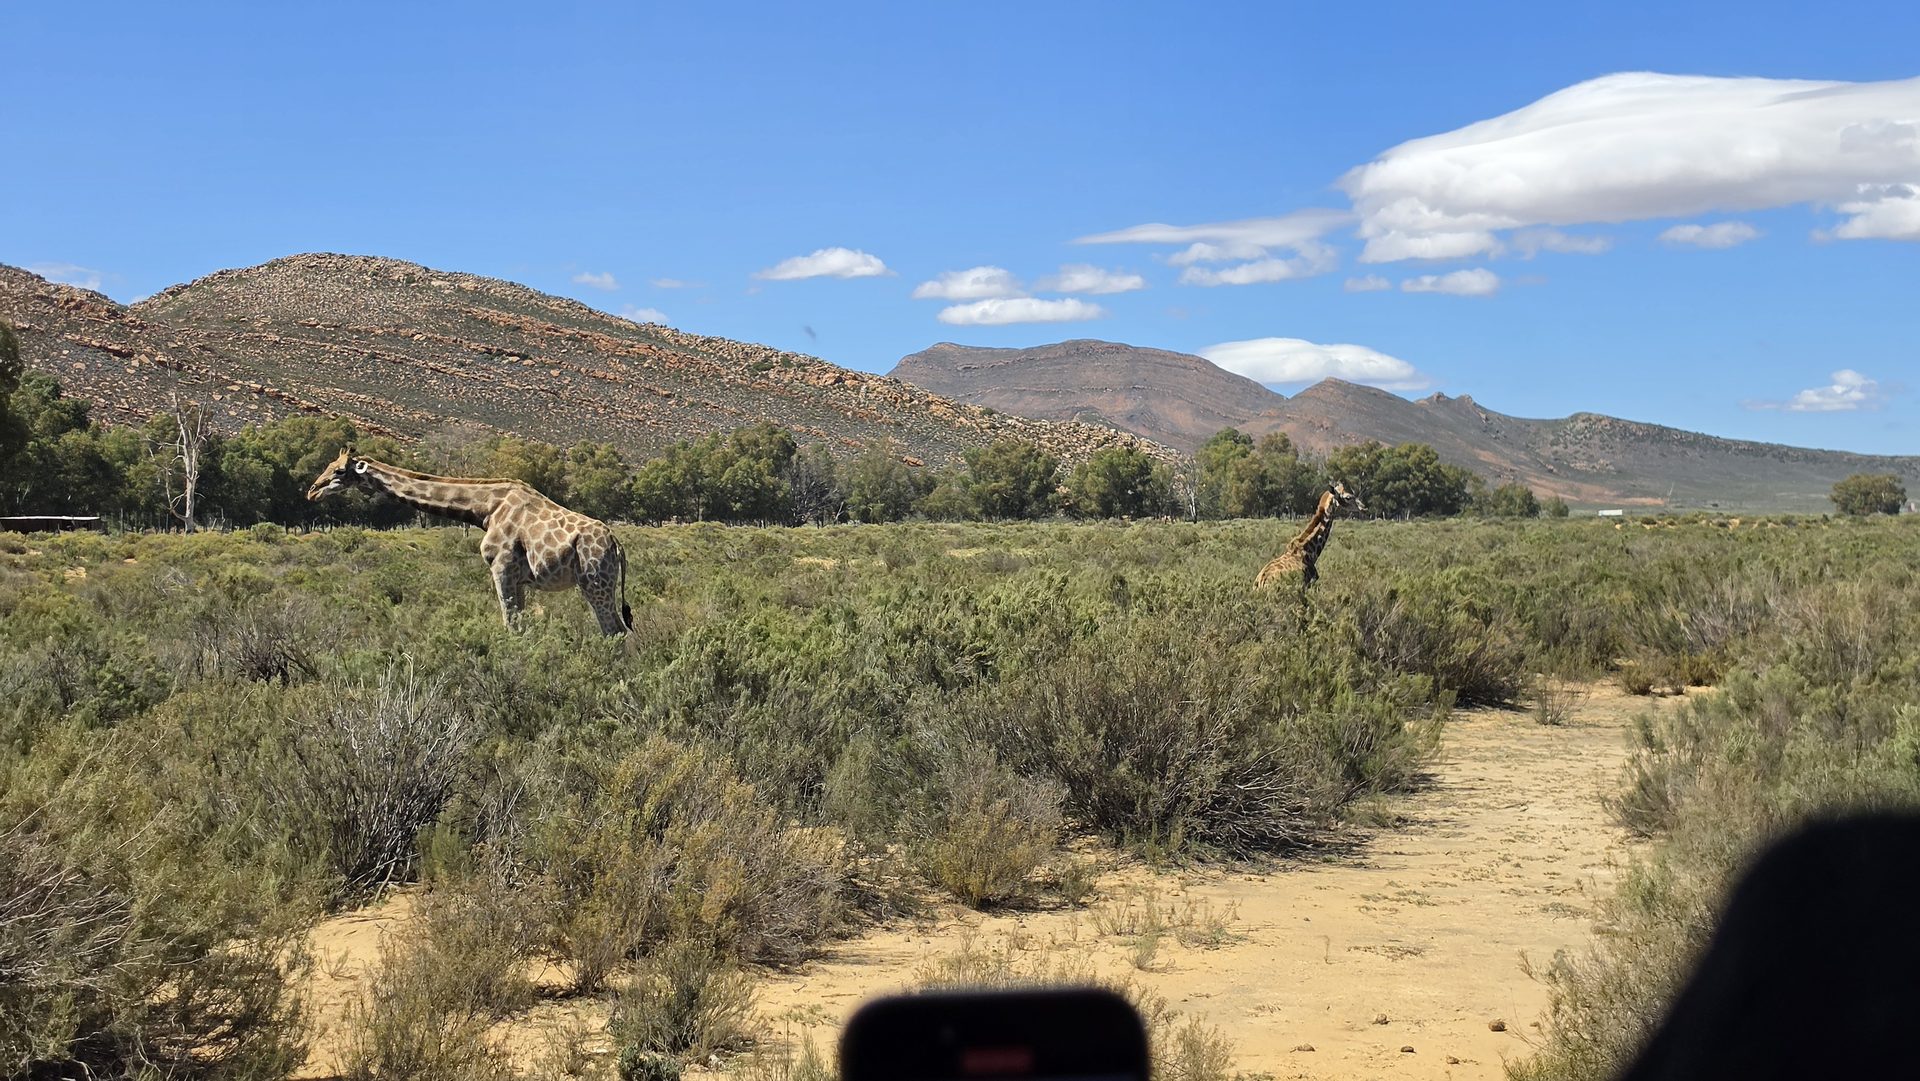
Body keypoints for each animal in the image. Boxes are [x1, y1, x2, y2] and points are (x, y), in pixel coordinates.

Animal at [306, 448, 634, 635]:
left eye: (339, 471)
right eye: (329, 465)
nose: (312, 491)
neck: (486, 509)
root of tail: (617, 545)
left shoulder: (501, 568)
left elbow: (511, 626)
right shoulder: (518, 578)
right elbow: (522, 626)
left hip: (594, 581)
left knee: (614, 630)